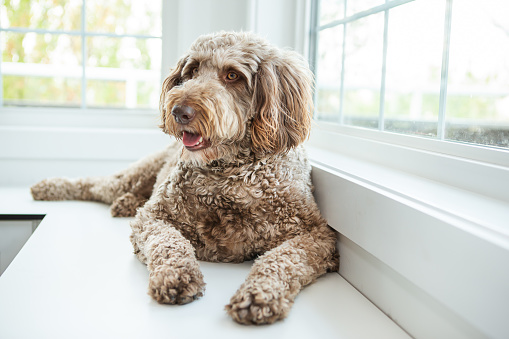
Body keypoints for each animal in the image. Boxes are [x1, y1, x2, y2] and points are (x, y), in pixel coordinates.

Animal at [30, 31, 338, 326]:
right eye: (192, 71)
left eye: (232, 75)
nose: (179, 112)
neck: (229, 173)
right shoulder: (153, 217)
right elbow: (169, 243)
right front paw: (176, 276)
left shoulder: (316, 235)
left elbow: (281, 259)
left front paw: (260, 295)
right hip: (135, 175)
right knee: (96, 185)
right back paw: (50, 187)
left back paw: (125, 203)